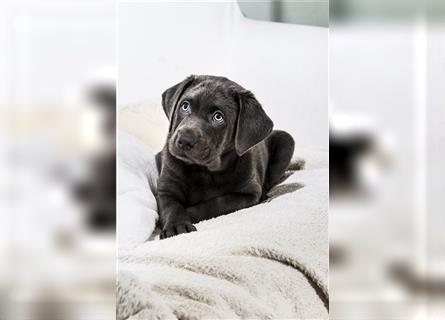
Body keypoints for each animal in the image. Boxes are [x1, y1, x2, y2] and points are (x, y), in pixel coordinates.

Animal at [156, 75, 294, 239]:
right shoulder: (166, 188)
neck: (204, 171)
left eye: (218, 117)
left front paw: (189, 213)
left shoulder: (249, 193)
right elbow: (171, 206)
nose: (184, 140)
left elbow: (218, 203)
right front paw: (177, 226)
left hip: (287, 140)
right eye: (185, 106)